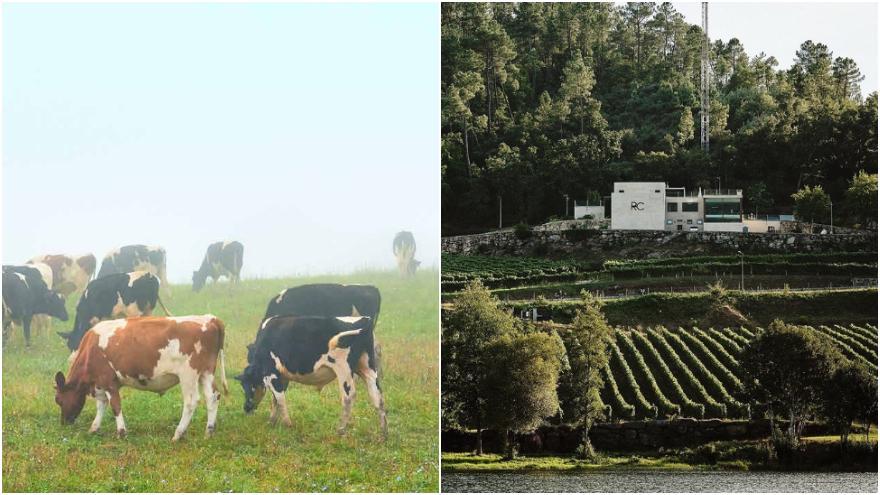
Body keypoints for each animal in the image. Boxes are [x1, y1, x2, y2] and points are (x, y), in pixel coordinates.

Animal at [53, 316, 229, 440]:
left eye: (58, 400)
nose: (64, 422)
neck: (91, 348)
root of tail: (210, 319)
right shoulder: (101, 383)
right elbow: (101, 405)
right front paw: (94, 428)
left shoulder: (108, 381)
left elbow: (115, 406)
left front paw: (121, 433)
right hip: (206, 372)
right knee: (212, 397)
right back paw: (209, 432)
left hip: (188, 374)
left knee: (191, 401)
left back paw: (178, 434)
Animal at [235, 318, 386, 438]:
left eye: (247, 385)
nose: (246, 408)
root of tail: (365, 320)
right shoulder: (282, 377)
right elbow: (275, 400)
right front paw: (271, 421)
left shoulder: (271, 373)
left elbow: (280, 399)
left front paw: (287, 424)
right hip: (367, 368)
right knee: (377, 397)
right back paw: (384, 434)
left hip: (344, 369)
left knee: (349, 397)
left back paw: (340, 430)